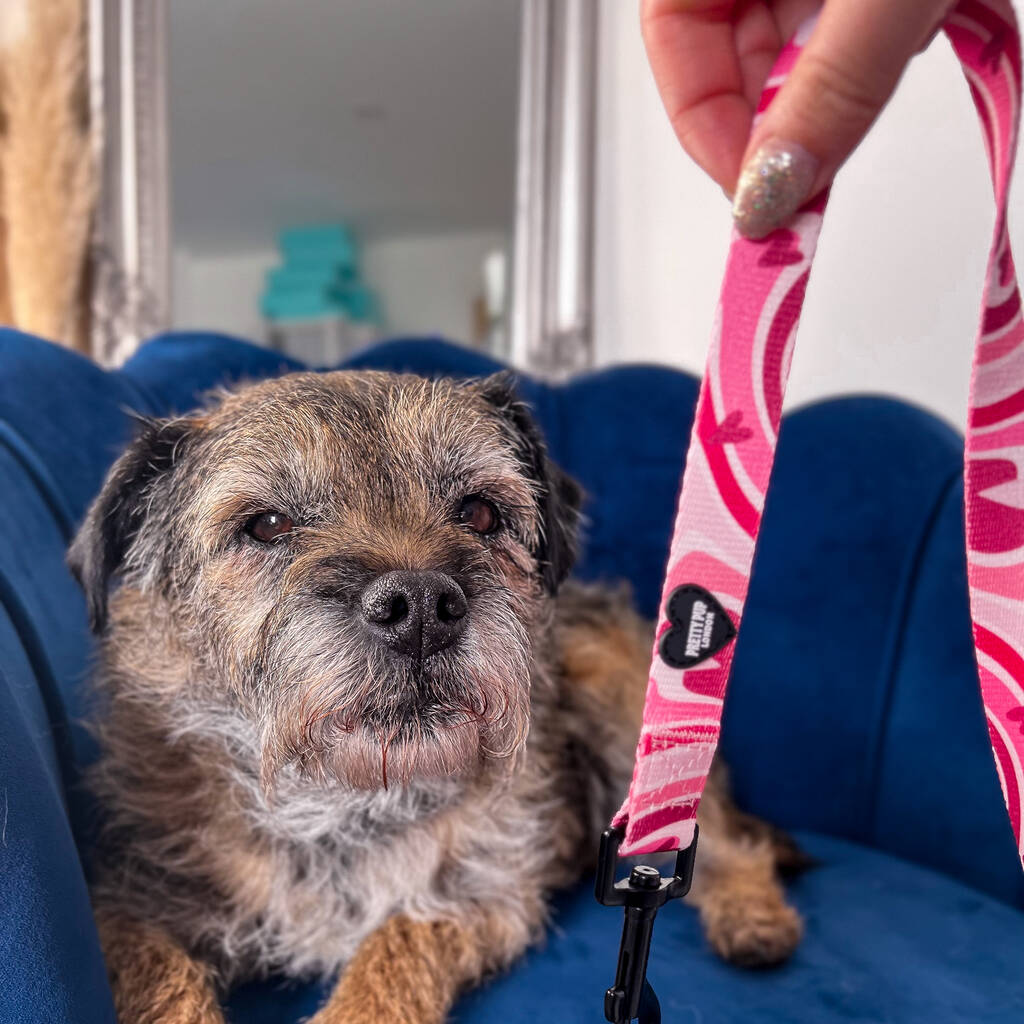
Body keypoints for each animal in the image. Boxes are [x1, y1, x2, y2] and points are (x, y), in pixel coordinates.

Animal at [70, 370, 806, 1024]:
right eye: (267, 525)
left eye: (479, 511)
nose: (420, 606)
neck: (339, 804)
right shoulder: (131, 906)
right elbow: (160, 977)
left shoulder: (487, 895)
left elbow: (396, 939)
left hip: (625, 718)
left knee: (714, 837)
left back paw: (753, 916)